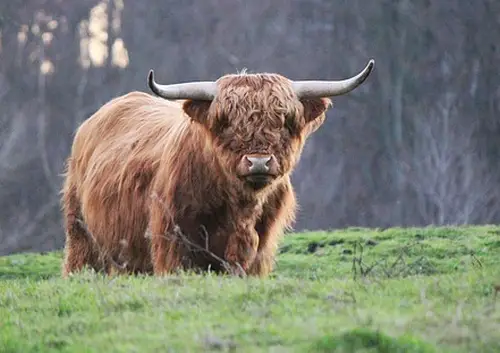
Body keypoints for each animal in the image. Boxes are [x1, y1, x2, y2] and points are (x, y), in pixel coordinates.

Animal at [60, 59, 376, 276]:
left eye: (285, 121)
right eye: (225, 122)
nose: (258, 161)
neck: (240, 208)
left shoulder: (257, 251)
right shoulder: (173, 242)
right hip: (81, 234)